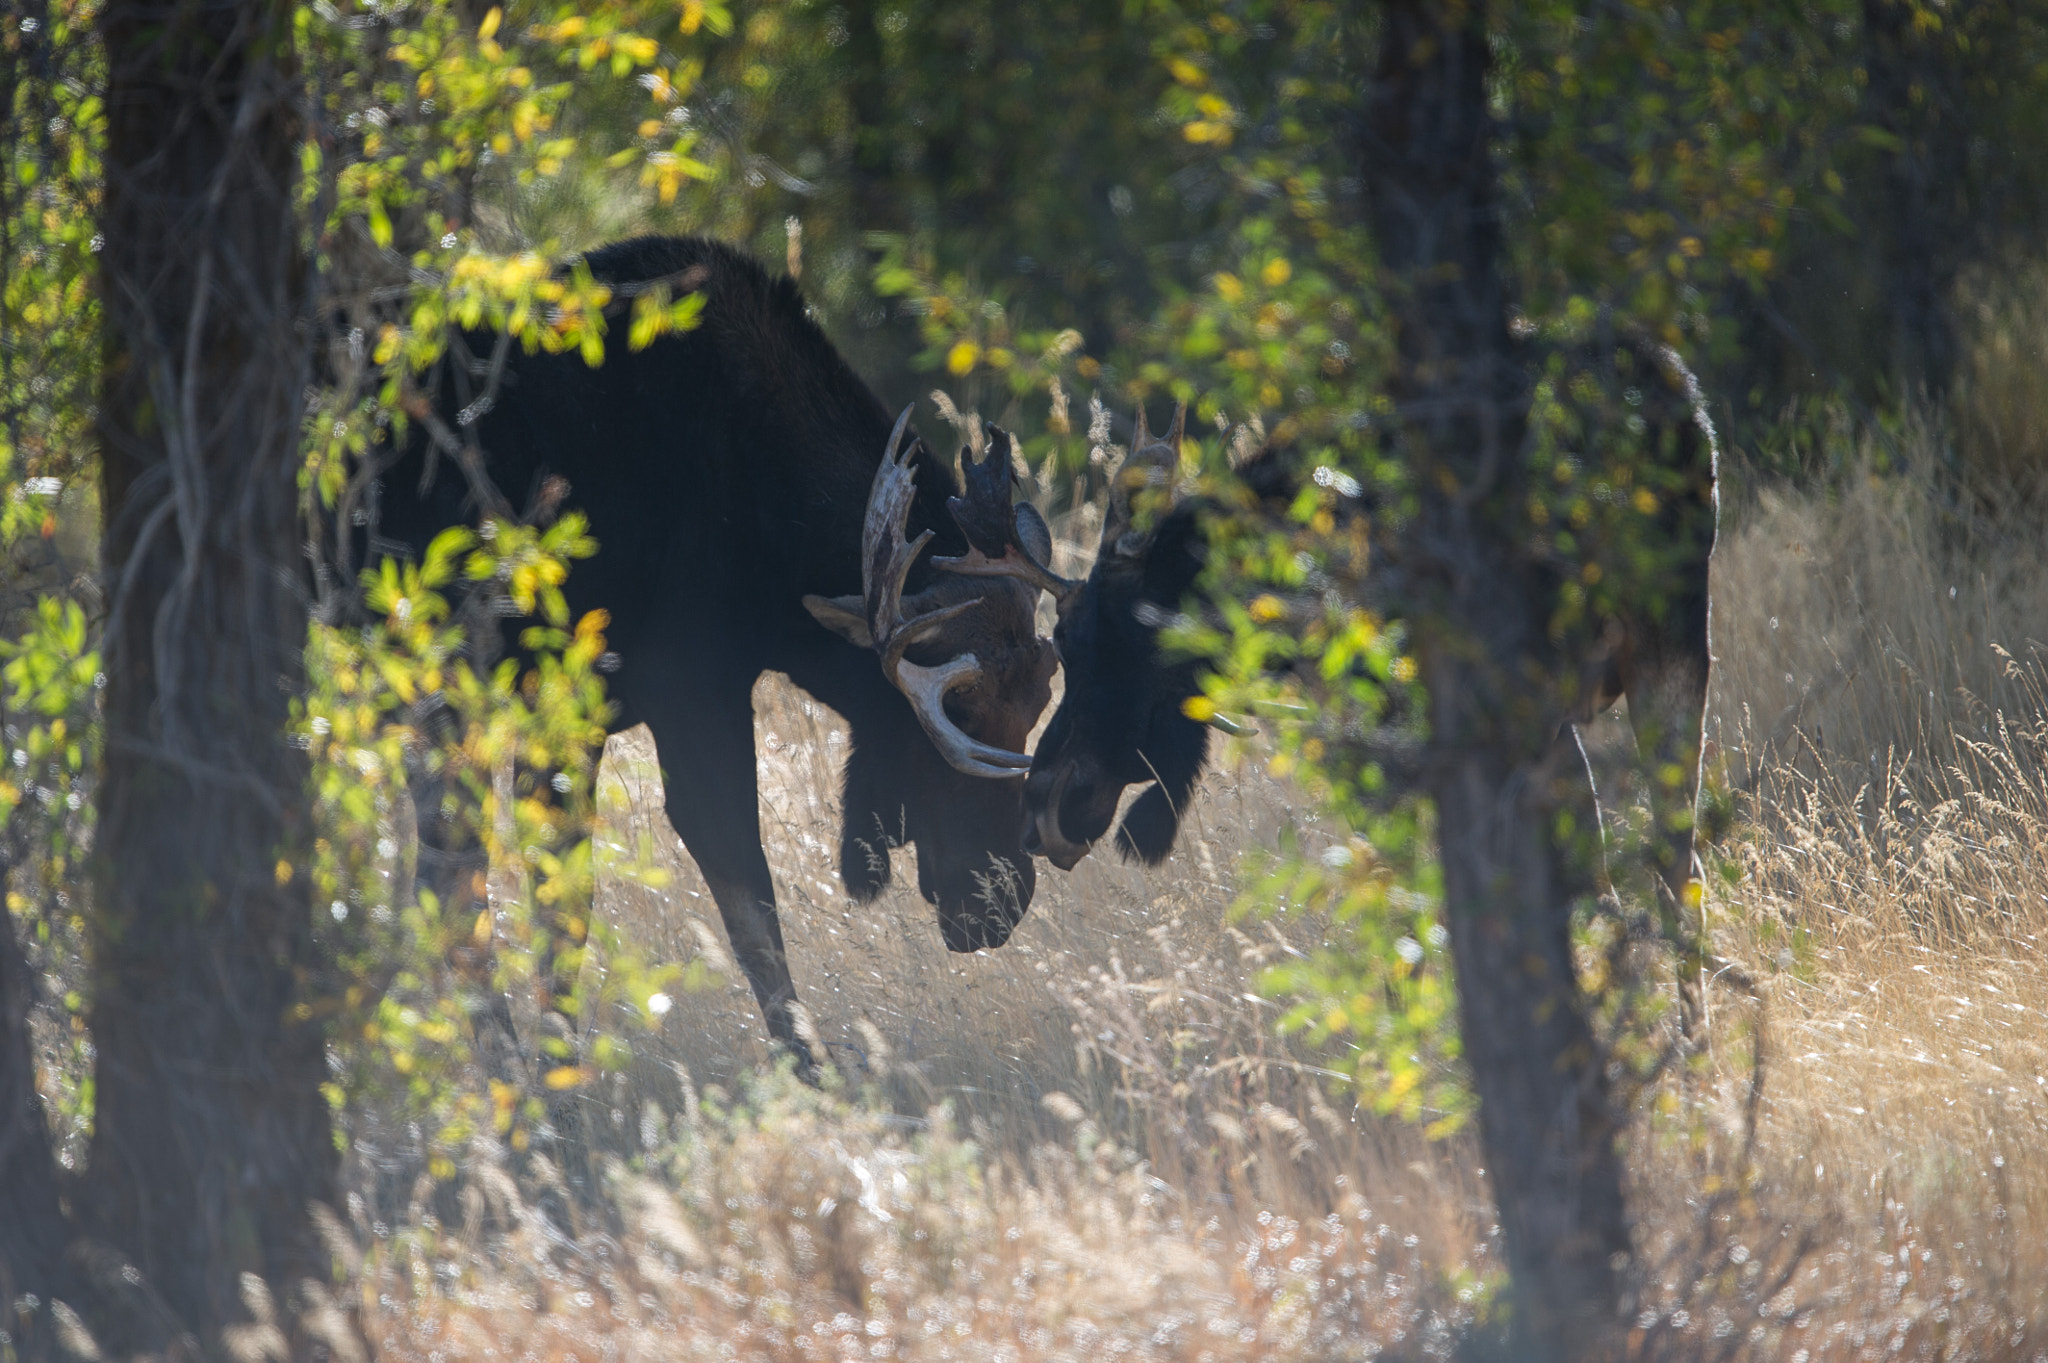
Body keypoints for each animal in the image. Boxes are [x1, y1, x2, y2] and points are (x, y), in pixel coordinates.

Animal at [370, 233, 1064, 1064]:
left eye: (1037, 701)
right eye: (954, 708)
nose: (1002, 900)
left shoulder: (578, 714)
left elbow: (558, 903)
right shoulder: (688, 692)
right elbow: (745, 895)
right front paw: (809, 1071)